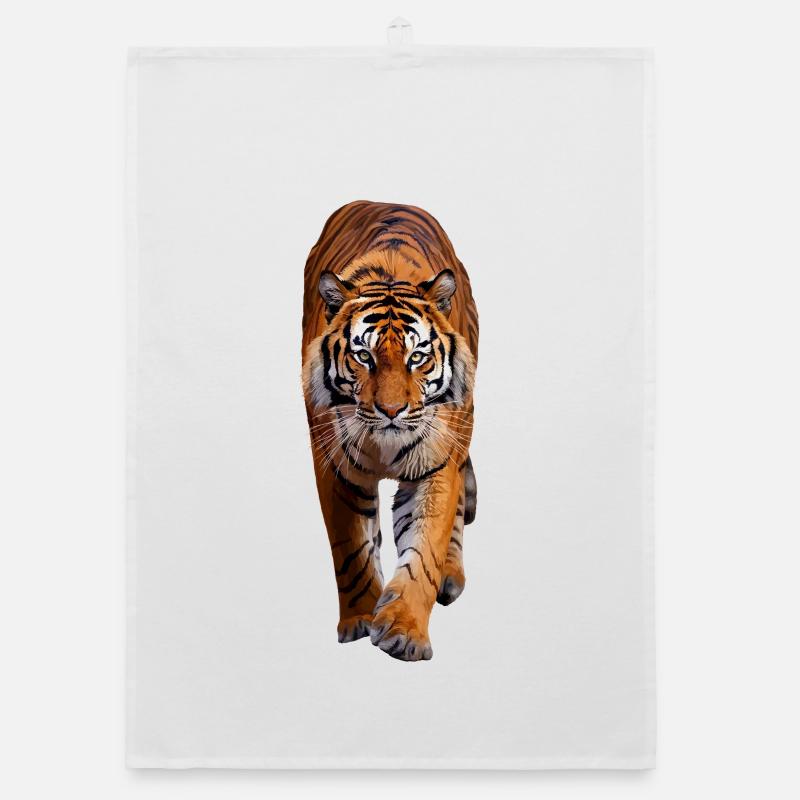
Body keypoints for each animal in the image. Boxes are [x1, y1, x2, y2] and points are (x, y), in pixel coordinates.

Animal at [301, 201, 479, 661]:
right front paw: (361, 619)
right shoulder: (335, 466)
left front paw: (404, 633)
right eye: (363, 356)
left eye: (417, 356)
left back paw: (450, 578)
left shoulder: (437, 462)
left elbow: (425, 547)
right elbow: (351, 550)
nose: (392, 411)